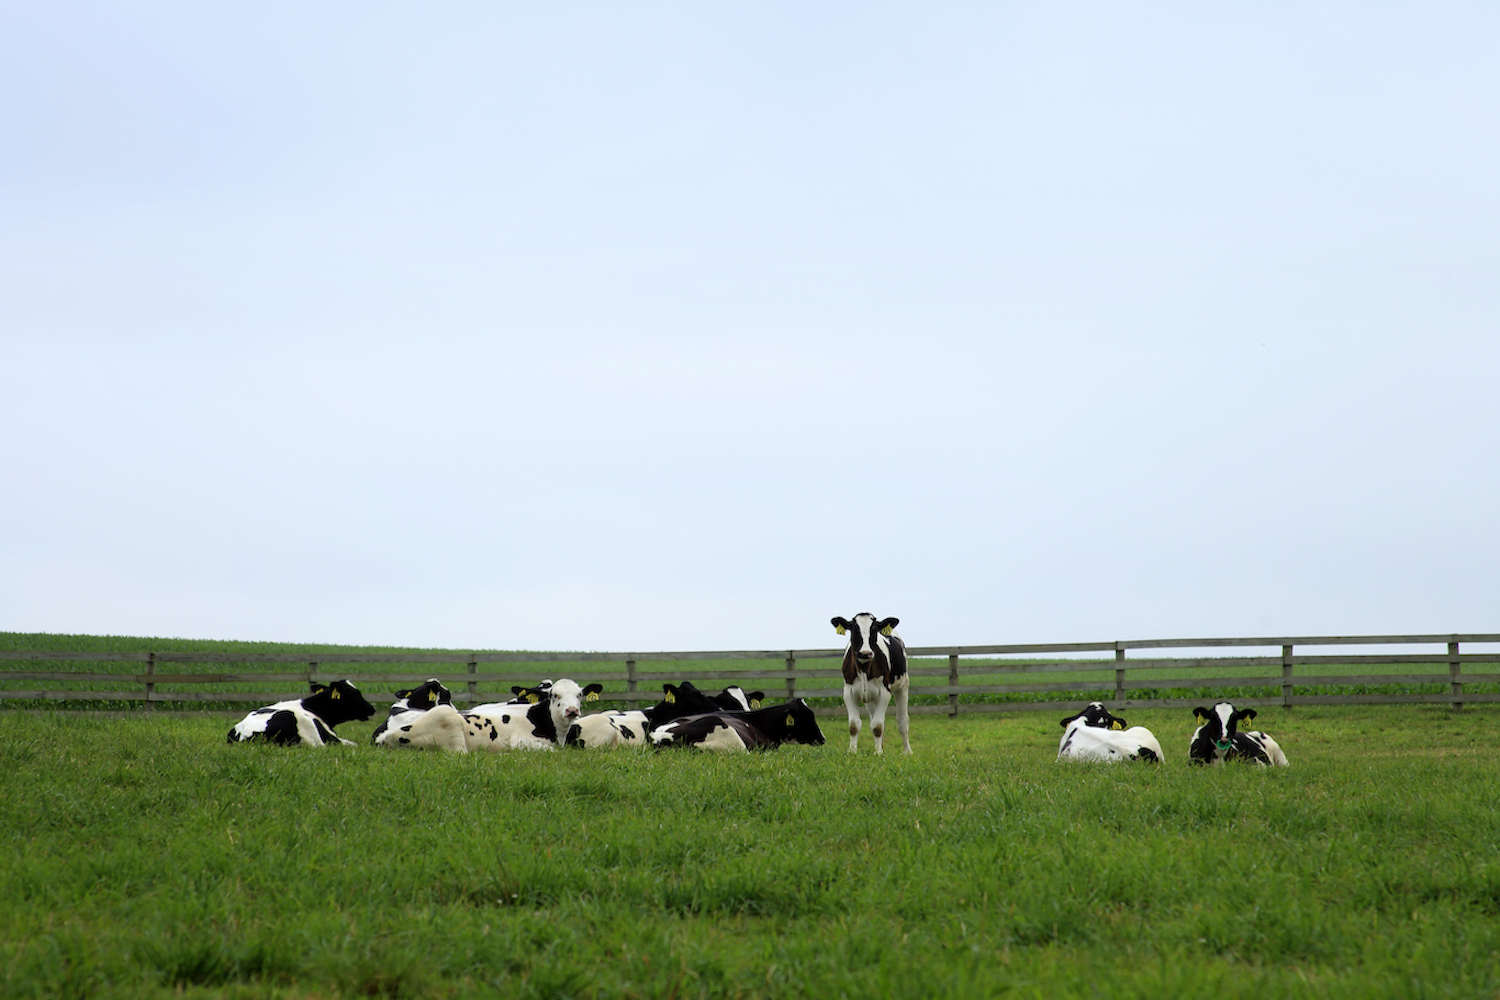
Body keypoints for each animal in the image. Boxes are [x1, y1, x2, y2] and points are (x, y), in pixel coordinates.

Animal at [831, 613, 911, 755]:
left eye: (874, 630)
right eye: (854, 629)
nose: (865, 653)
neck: (864, 668)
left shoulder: (884, 693)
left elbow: (877, 726)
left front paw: (878, 753)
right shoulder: (849, 693)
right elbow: (854, 725)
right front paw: (852, 751)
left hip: (902, 687)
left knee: (902, 721)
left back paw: (907, 751)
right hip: (869, 697)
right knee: (874, 717)